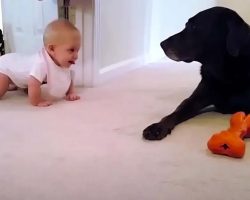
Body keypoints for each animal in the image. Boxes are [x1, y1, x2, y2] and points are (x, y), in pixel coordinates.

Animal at [142, 6, 250, 141]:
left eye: (193, 26)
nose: (162, 44)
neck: (223, 71)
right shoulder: (195, 99)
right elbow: (177, 110)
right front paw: (158, 126)